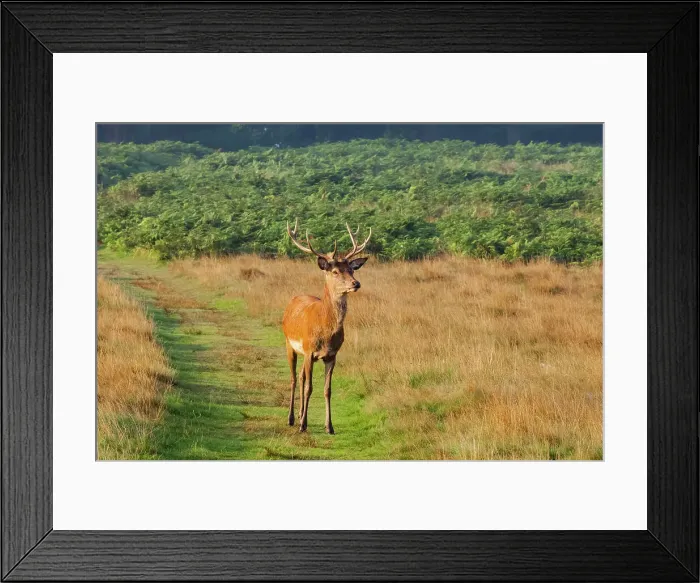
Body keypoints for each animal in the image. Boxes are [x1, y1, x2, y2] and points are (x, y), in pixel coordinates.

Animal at [282, 219, 372, 434]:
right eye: (335, 271)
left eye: (352, 270)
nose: (356, 283)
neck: (325, 331)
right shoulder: (309, 350)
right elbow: (309, 388)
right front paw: (303, 425)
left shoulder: (332, 355)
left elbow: (327, 390)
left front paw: (329, 426)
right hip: (289, 343)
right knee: (294, 378)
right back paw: (292, 419)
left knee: (300, 376)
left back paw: (300, 415)